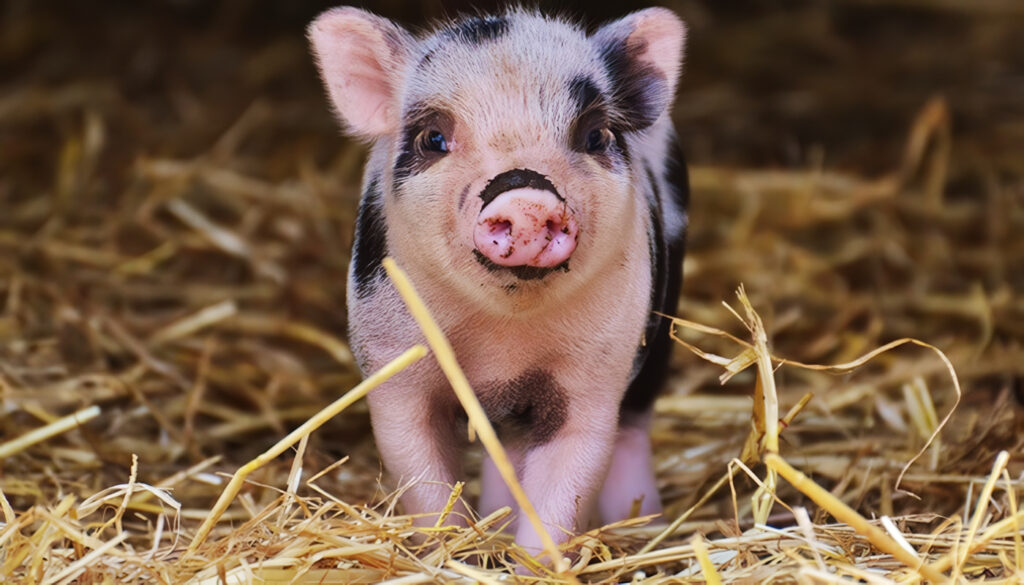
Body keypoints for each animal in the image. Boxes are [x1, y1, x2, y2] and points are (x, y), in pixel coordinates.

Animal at [308, 6, 689, 559]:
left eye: (595, 136)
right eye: (433, 138)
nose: (526, 196)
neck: (502, 343)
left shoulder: (595, 376)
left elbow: (564, 487)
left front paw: (533, 563)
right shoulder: (393, 364)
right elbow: (423, 480)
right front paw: (451, 555)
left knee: (633, 426)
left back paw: (640, 526)